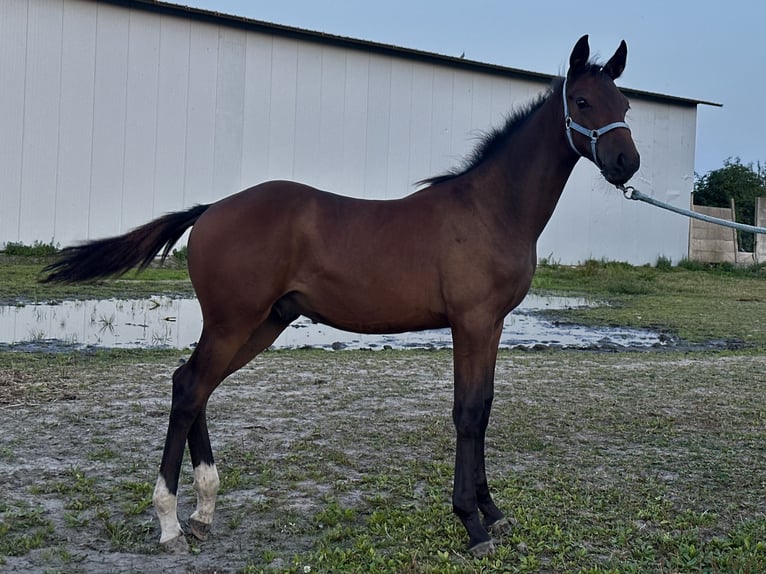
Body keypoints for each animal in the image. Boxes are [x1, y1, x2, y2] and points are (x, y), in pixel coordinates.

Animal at [42, 35, 639, 557]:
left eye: (626, 102)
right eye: (583, 101)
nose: (625, 163)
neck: (490, 208)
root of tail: (210, 210)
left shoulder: (492, 325)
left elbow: (485, 408)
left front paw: (491, 511)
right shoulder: (471, 322)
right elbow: (467, 413)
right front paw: (472, 523)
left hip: (261, 323)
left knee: (194, 387)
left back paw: (203, 512)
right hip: (235, 322)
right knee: (190, 388)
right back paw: (169, 523)